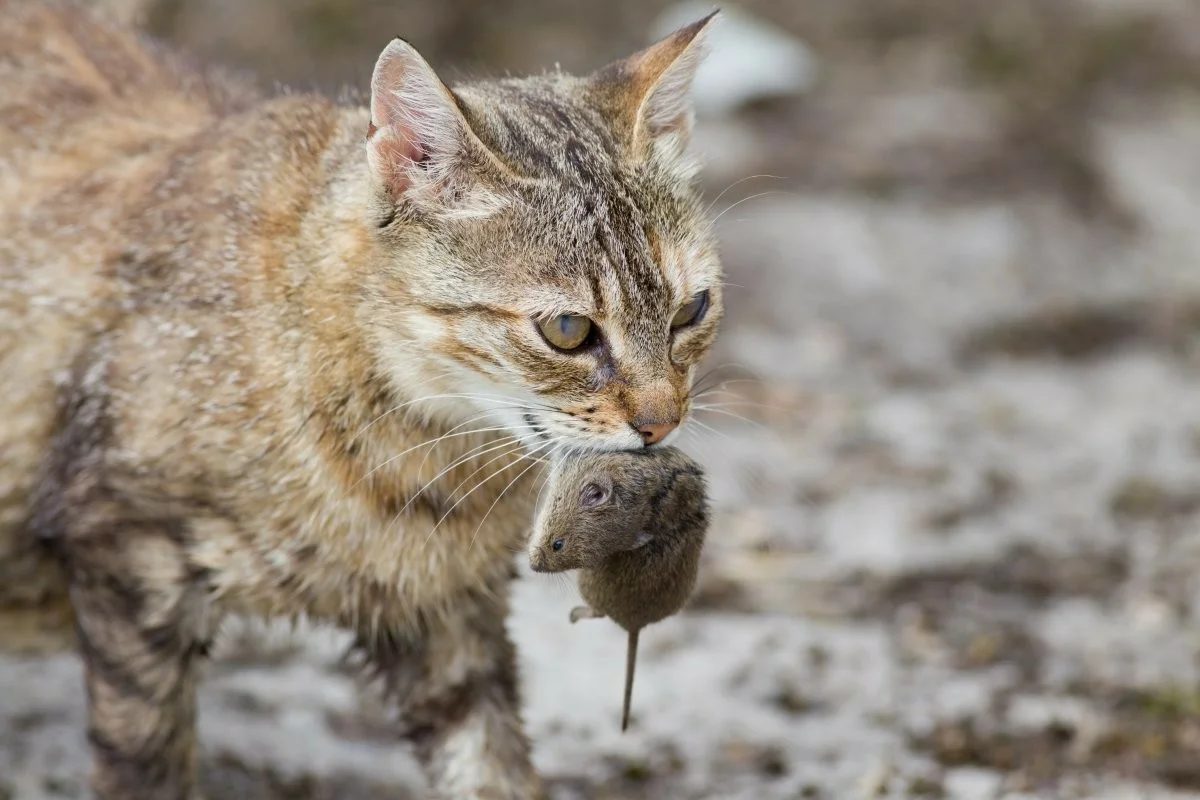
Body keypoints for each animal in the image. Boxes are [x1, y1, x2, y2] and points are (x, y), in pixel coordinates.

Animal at [0, 3, 724, 796]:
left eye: (691, 310)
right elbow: (146, 765)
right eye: (568, 330)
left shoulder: (447, 611)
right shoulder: (129, 557)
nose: (662, 422)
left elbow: (492, 766)